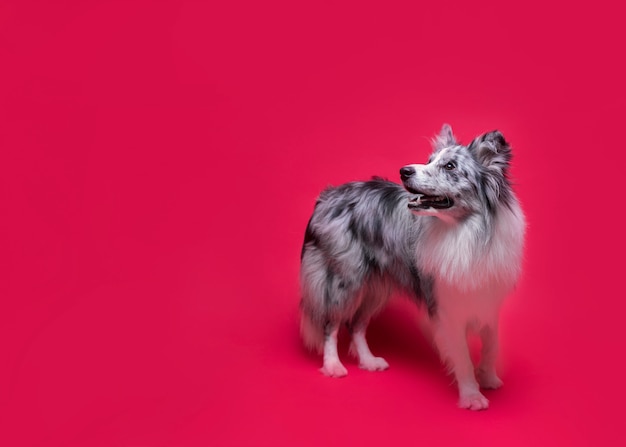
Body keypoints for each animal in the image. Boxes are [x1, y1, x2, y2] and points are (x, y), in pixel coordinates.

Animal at [300, 124, 524, 412]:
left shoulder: (486, 298)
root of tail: (328, 195)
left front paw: (488, 377)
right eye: (429, 161)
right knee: (331, 322)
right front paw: (472, 395)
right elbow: (462, 355)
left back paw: (369, 361)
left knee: (357, 324)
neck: (465, 230)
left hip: (376, 287)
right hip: (344, 278)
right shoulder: (446, 307)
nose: (404, 171)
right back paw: (333, 366)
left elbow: (491, 344)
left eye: (449, 166)